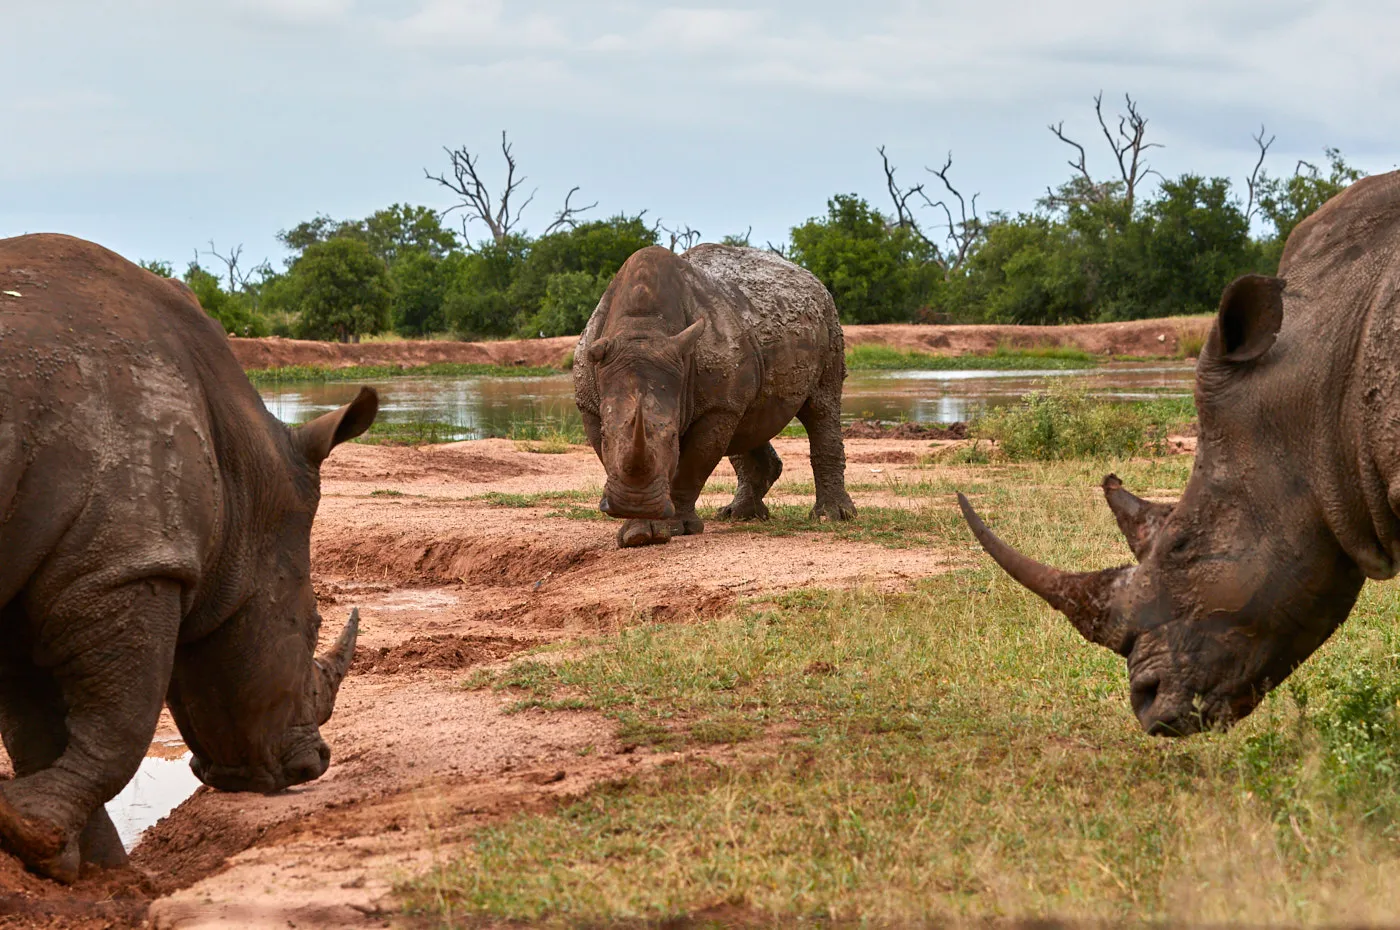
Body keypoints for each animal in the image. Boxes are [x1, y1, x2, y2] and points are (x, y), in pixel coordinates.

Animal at [0, 234, 375, 881]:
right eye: (312, 624)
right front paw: (40, 835)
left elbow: (36, 729)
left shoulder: (45, 564)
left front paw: (89, 872)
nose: (314, 766)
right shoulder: (130, 562)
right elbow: (121, 723)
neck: (244, 477)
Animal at [574, 244, 856, 548]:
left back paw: (832, 517)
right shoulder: (590, 406)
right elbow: (613, 457)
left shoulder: (716, 408)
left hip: (828, 318)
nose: (636, 504)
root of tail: (810, 277)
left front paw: (675, 527)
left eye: (673, 437)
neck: (642, 330)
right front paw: (637, 533)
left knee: (821, 408)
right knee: (749, 422)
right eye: (605, 436)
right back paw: (739, 515)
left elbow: (693, 466)